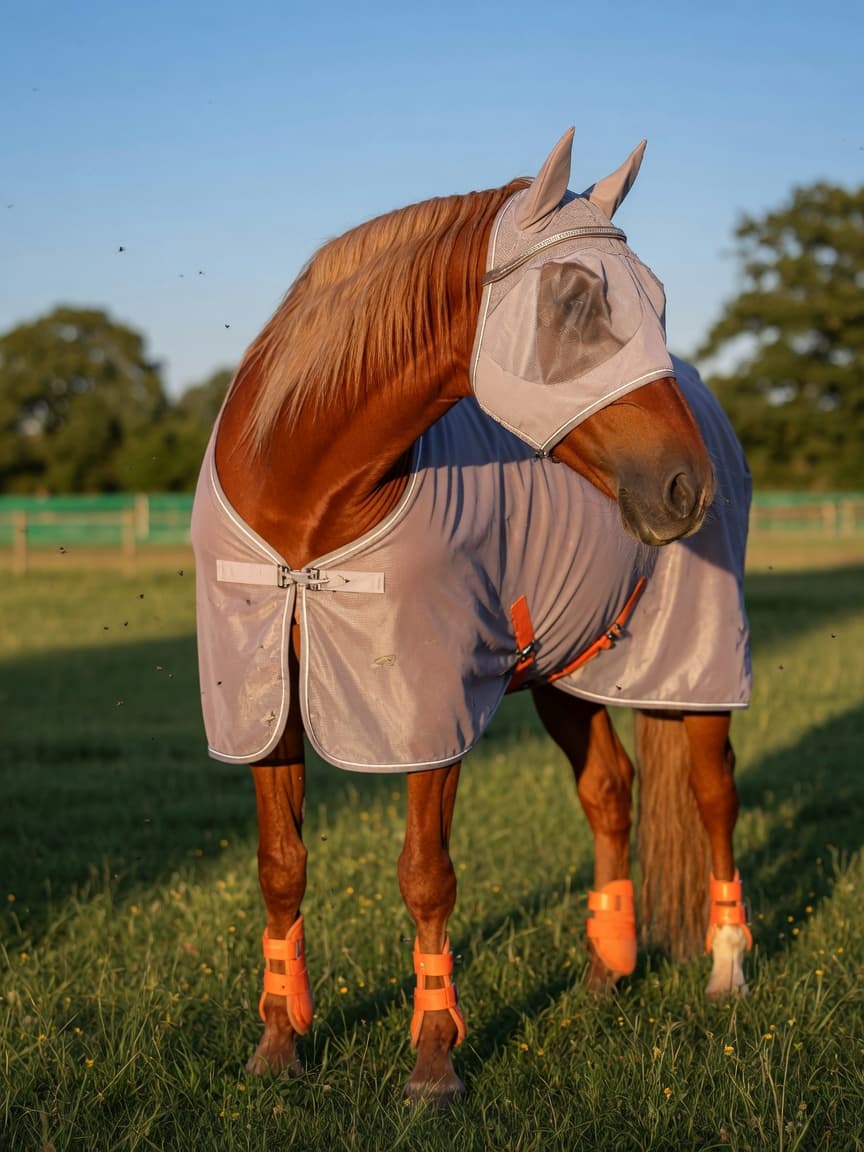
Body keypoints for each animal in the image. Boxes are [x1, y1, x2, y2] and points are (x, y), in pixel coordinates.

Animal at [191, 128, 753, 1106]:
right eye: (575, 299)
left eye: (660, 300)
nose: (687, 487)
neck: (304, 516)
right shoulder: (264, 706)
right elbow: (280, 869)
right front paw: (277, 1044)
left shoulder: (428, 709)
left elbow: (425, 877)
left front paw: (433, 1063)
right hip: (566, 670)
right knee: (610, 791)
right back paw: (605, 973)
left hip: (699, 669)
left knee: (713, 794)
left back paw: (726, 968)